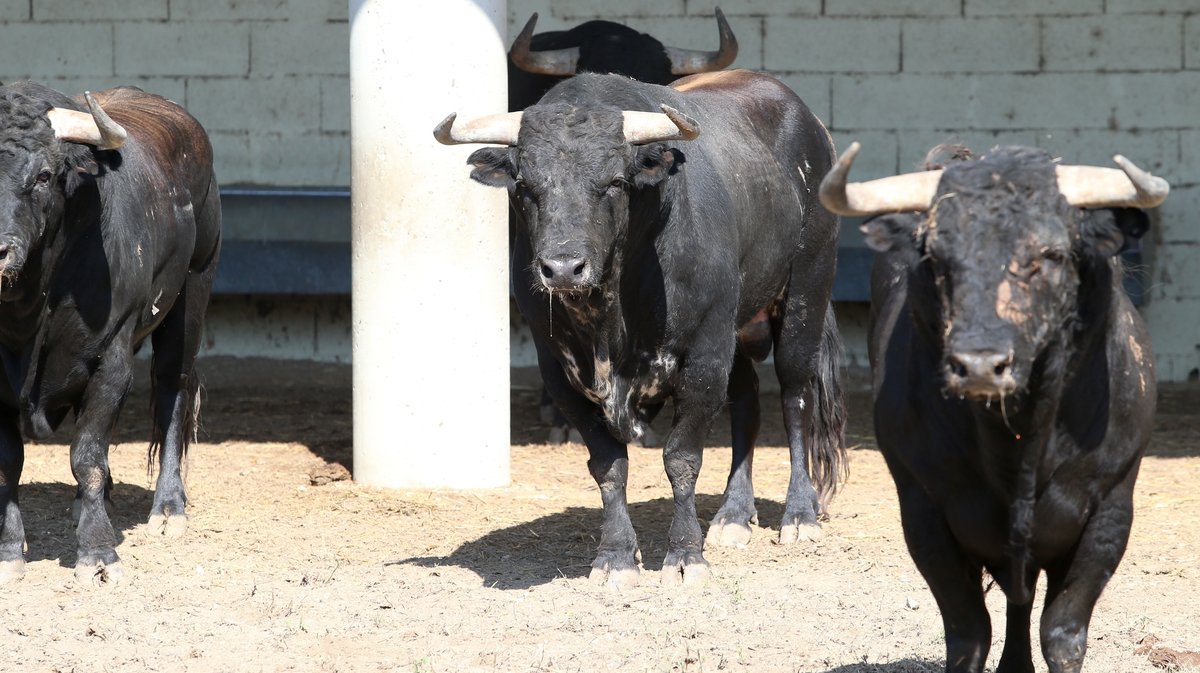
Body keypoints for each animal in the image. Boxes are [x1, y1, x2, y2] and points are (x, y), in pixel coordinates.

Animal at [0, 81, 220, 583]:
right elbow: (8, 464)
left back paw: (168, 508)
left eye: (44, 176)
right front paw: (8, 552)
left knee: (172, 391)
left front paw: (98, 555)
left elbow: (88, 458)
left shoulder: (110, 362)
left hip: (193, 291)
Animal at [436, 70, 849, 587]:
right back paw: (734, 516)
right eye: (525, 184)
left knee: (796, 396)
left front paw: (686, 557)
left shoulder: (703, 357)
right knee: (748, 401)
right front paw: (615, 557)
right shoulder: (560, 371)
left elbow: (682, 458)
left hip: (805, 293)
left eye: (615, 182)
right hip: (735, 330)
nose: (563, 268)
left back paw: (799, 514)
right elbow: (608, 464)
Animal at [820, 142, 1166, 671]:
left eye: (1051, 254)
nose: (980, 366)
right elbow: (968, 634)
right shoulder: (923, 512)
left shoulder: (1110, 510)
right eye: (936, 257)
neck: (1017, 442)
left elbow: (1063, 633)